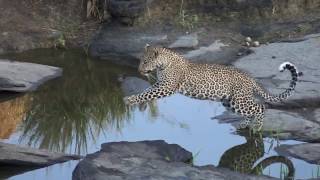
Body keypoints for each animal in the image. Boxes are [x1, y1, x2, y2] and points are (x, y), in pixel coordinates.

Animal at [123, 44, 300, 131]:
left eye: (145, 61)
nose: (139, 70)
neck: (163, 64)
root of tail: (250, 78)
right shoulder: (160, 84)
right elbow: (146, 92)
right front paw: (136, 101)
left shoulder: (166, 87)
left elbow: (147, 93)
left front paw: (130, 100)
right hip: (229, 101)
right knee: (252, 110)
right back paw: (243, 125)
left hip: (239, 100)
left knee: (260, 107)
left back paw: (257, 127)